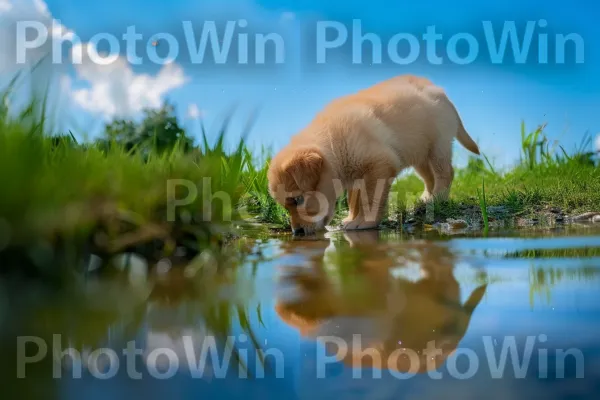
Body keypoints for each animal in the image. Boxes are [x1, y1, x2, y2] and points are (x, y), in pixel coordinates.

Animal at [270, 75, 480, 234]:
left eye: (298, 200)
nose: (297, 232)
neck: (333, 142)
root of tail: (441, 93)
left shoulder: (379, 165)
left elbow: (370, 199)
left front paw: (364, 222)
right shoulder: (357, 174)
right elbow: (355, 201)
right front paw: (350, 218)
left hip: (438, 146)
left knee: (445, 173)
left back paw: (438, 198)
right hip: (419, 152)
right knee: (429, 177)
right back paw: (426, 199)